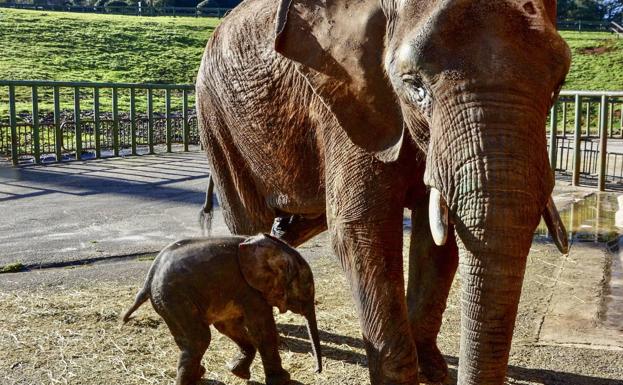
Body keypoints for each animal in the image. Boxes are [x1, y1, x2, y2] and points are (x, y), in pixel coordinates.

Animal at [124, 232, 324, 384]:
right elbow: (262, 330)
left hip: (169, 302)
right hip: (175, 298)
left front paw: (238, 372)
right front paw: (284, 380)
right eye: (307, 288)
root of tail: (150, 276)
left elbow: (228, 326)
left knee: (189, 341)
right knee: (199, 340)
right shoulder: (250, 291)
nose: (317, 371)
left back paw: (199, 374)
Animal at [197, 1, 572, 382]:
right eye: (414, 85)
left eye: (559, 84)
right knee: (248, 223)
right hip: (217, 121)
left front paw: (432, 371)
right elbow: (361, 231)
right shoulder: (348, 103)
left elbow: (437, 237)